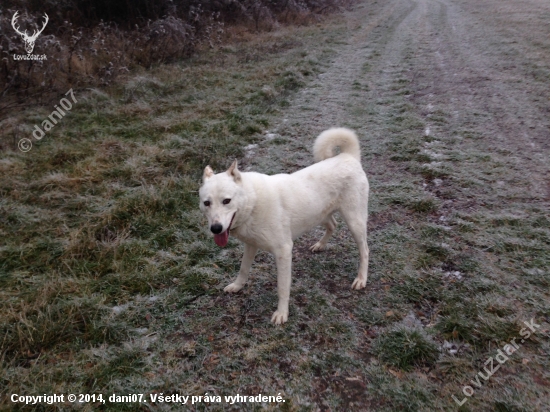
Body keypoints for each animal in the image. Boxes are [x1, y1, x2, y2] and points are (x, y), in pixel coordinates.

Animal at [199, 127, 370, 324]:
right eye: (206, 203)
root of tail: (348, 156)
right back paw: (320, 245)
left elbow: (282, 287)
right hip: (320, 214)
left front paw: (282, 313)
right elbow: (243, 269)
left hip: (355, 222)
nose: (216, 229)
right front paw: (237, 286)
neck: (253, 203)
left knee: (365, 250)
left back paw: (361, 278)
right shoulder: (250, 245)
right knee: (333, 225)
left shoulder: (284, 251)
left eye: (226, 201)